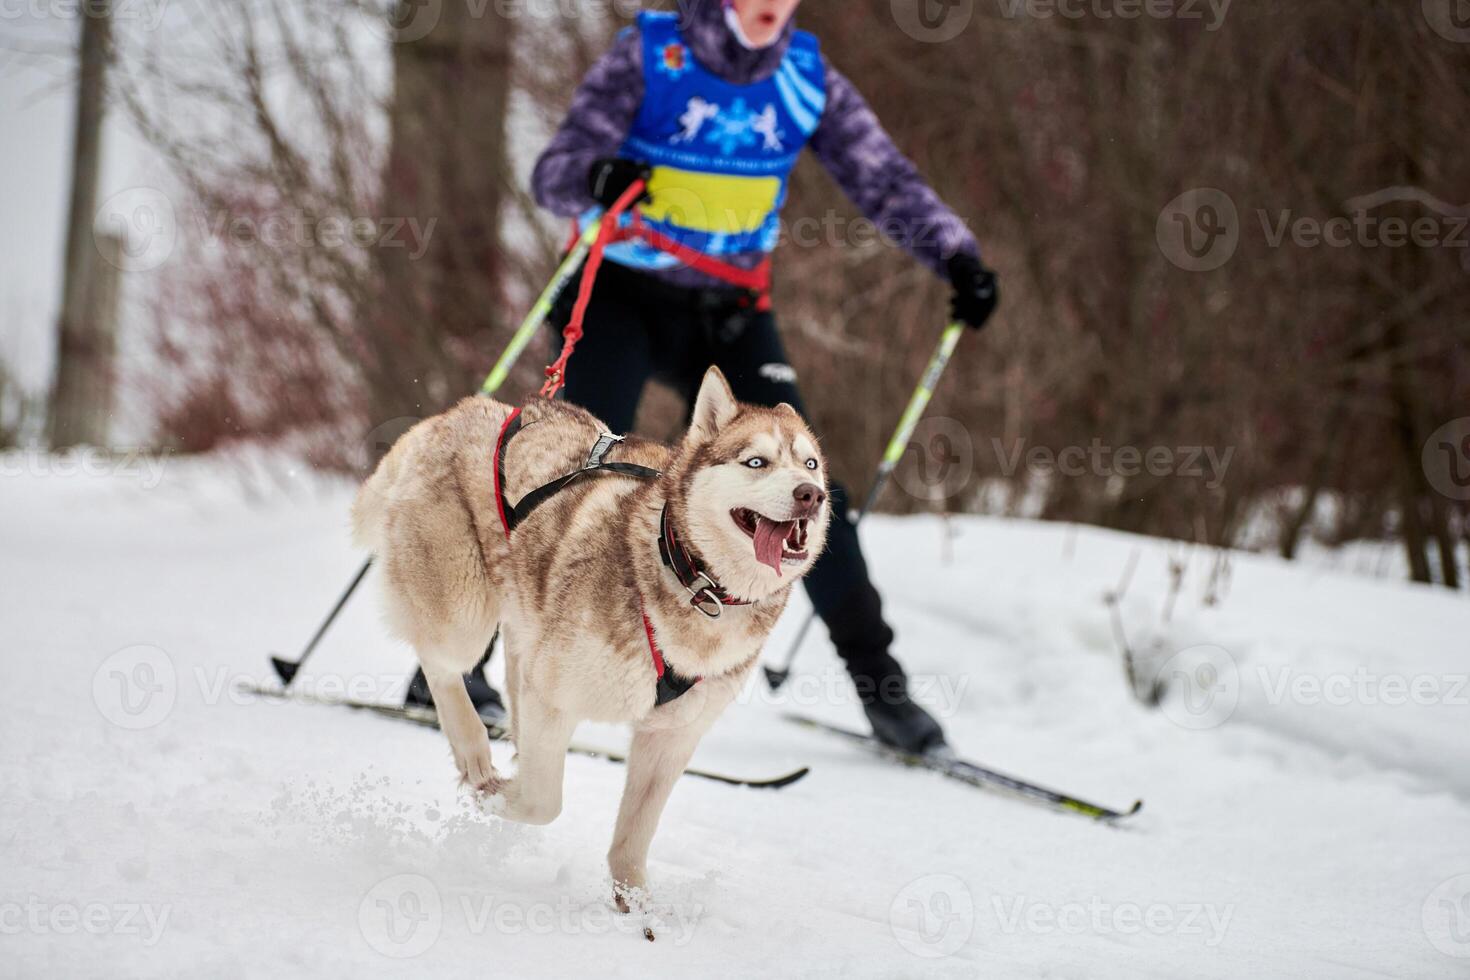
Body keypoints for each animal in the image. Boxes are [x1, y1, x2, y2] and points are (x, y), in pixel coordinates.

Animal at [352, 367, 829, 905]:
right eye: (756, 462)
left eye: (810, 463)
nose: (811, 493)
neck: (692, 578)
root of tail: (459, 411)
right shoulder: (555, 698)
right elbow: (542, 802)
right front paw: (498, 798)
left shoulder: (671, 736)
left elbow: (633, 836)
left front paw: (635, 907)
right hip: (464, 615)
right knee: (441, 664)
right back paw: (474, 753)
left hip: (524, 625)